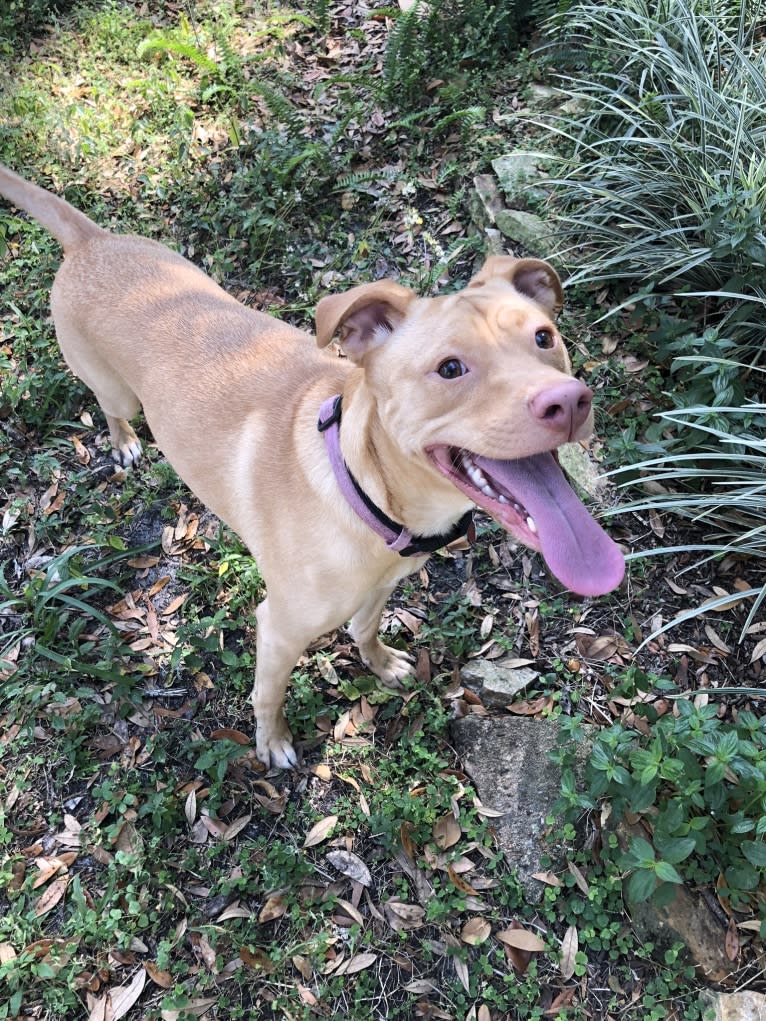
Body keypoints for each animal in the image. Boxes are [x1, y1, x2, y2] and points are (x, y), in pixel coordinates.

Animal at [0, 163, 625, 767]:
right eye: (451, 369)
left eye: (544, 337)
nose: (569, 402)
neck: (365, 490)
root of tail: (92, 240)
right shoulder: (278, 627)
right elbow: (267, 693)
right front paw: (271, 741)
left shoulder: (381, 586)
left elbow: (365, 626)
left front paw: (381, 663)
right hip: (115, 391)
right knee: (112, 410)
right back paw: (124, 441)